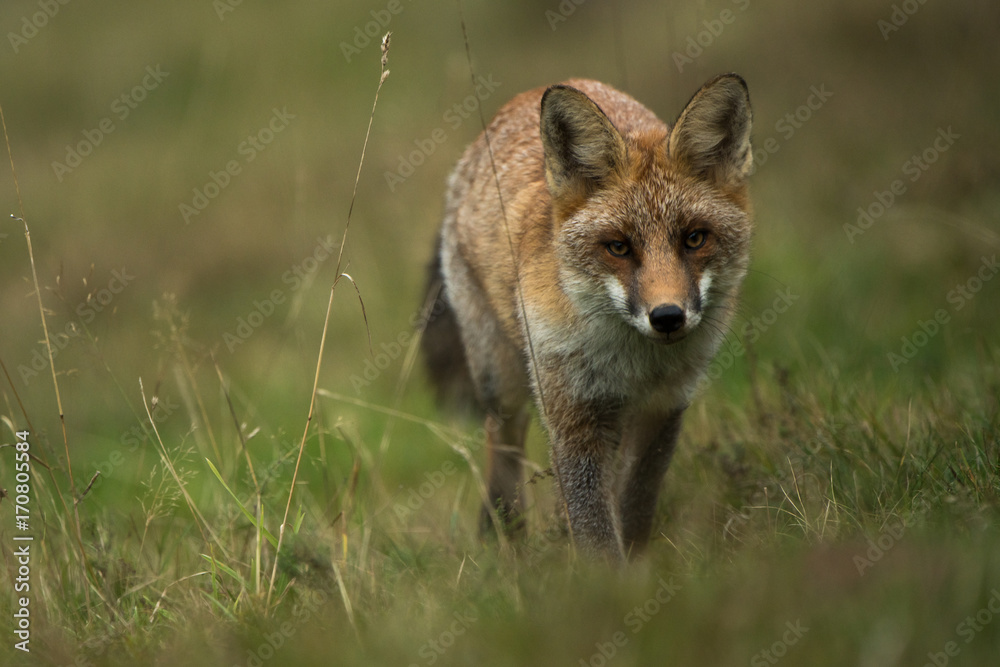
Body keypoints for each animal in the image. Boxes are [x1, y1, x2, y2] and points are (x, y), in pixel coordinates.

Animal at [421, 74, 753, 562]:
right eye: (618, 247)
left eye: (695, 238)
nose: (667, 316)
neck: (633, 361)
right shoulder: (572, 412)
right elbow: (594, 527)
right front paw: (603, 581)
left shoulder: (664, 406)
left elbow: (633, 504)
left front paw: (636, 567)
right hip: (502, 382)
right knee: (502, 446)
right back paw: (507, 540)